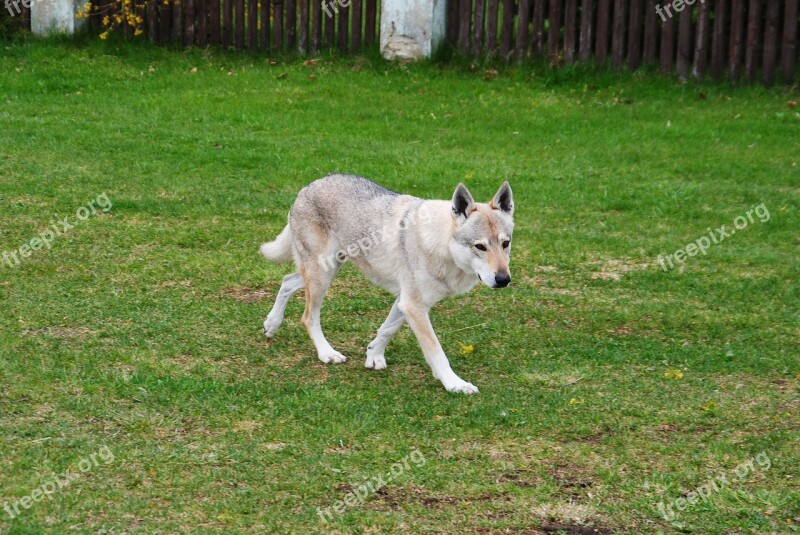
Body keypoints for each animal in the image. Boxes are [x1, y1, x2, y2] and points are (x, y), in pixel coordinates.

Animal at [260, 175, 516, 394]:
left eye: (506, 244)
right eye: (480, 246)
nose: (504, 280)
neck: (442, 245)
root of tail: (307, 187)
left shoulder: (406, 302)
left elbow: (387, 329)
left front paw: (373, 357)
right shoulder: (414, 306)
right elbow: (436, 351)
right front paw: (455, 384)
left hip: (327, 270)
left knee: (287, 281)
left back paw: (271, 324)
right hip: (322, 276)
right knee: (308, 317)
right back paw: (327, 353)